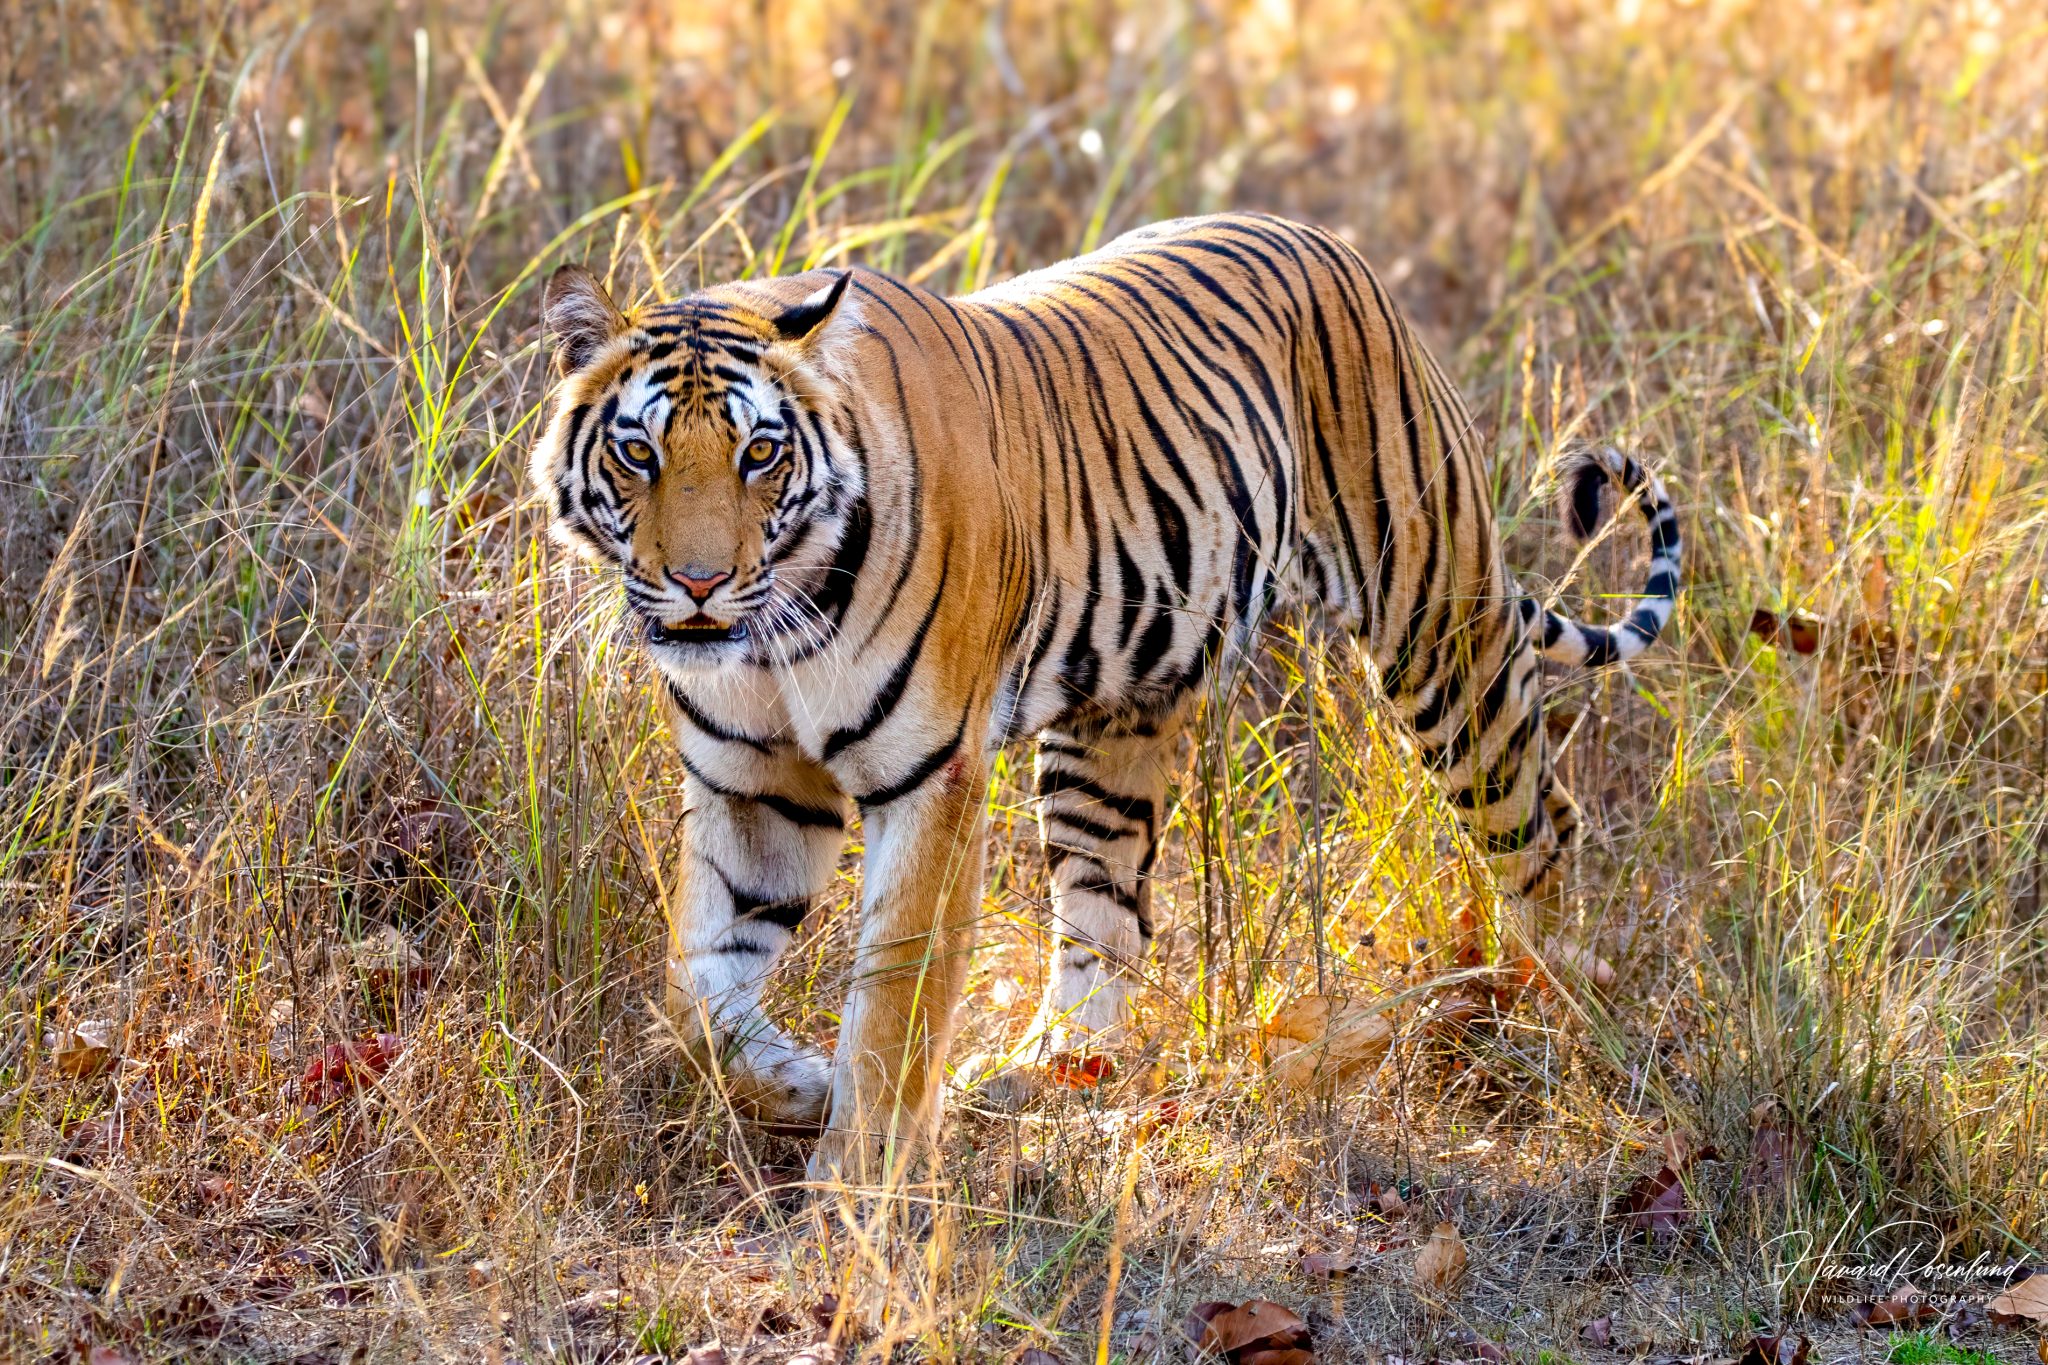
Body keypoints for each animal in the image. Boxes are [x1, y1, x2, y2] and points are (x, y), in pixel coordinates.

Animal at [530, 211, 1680, 1183]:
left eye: (759, 453)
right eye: (638, 453)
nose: (699, 582)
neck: (773, 633)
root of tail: (1331, 242)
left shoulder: (931, 777)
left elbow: (894, 1002)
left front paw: (857, 1188)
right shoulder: (753, 784)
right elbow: (695, 990)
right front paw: (796, 1085)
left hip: (1439, 630)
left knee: (1540, 823)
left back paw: (1566, 1023)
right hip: (1115, 719)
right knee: (1110, 913)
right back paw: (1042, 1069)